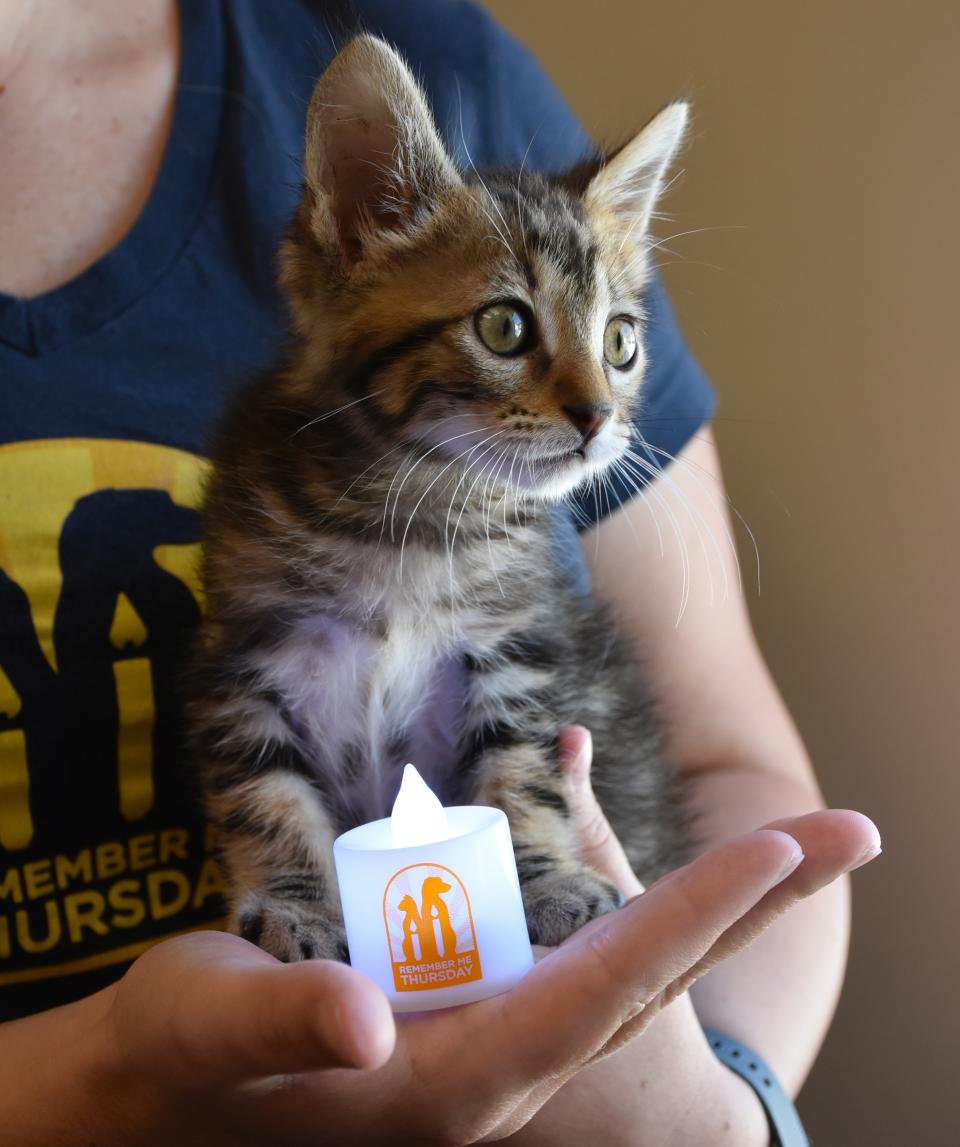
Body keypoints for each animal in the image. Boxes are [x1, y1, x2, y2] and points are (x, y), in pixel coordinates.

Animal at [189, 35, 688, 958]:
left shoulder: (515, 650)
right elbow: (266, 795)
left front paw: (547, 879)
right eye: (505, 327)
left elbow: (521, 773)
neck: (419, 506)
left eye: (620, 342)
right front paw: (297, 905)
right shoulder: (241, 658)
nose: (599, 417)